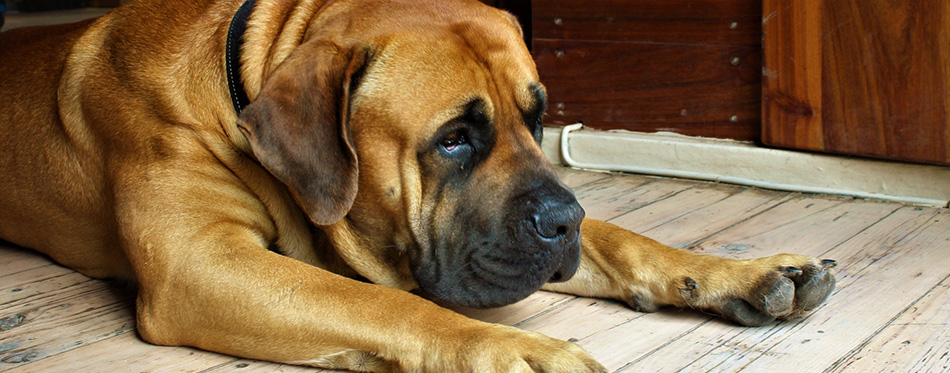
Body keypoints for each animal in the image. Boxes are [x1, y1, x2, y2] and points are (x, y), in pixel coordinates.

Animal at [0, 0, 836, 370]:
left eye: (537, 116)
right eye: (453, 138)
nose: (562, 219)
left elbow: (627, 238)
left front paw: (739, 272)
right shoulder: (198, 265)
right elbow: (380, 302)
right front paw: (515, 348)